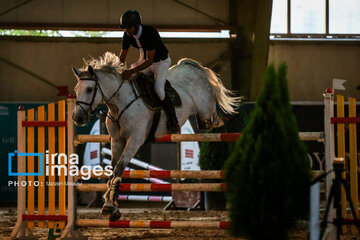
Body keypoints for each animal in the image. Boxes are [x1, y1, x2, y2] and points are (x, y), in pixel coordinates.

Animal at [71, 52, 240, 221]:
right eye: (76, 89)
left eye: (89, 89)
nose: (77, 118)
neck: (119, 104)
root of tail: (191, 67)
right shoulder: (117, 141)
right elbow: (113, 170)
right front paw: (111, 205)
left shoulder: (135, 140)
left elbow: (119, 167)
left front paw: (109, 206)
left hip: (205, 108)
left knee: (212, 116)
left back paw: (218, 121)